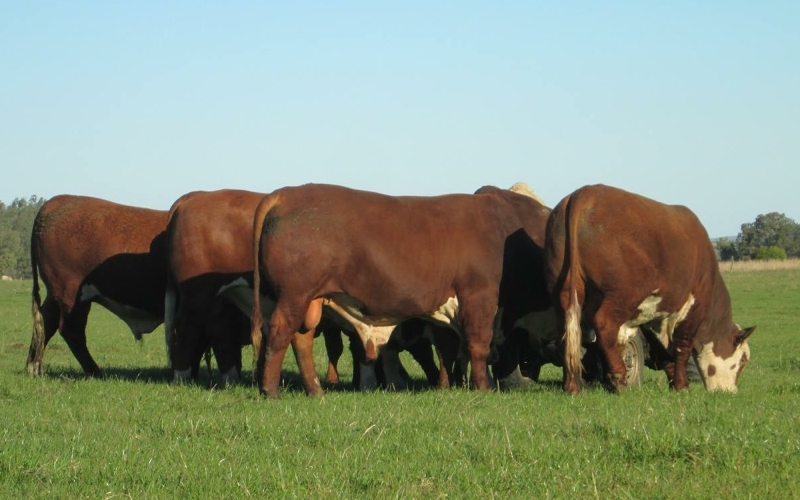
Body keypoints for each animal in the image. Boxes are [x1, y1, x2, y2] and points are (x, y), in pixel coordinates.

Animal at [27, 195, 169, 376]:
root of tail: (57, 201)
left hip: (56, 294)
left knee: (45, 324)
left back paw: (34, 367)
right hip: (72, 294)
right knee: (71, 330)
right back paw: (95, 371)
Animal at [544, 185, 756, 394]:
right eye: (743, 360)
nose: (731, 391)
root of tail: (584, 193)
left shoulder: (654, 315)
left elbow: (661, 351)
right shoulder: (693, 306)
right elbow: (682, 347)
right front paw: (682, 386)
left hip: (563, 288)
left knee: (568, 332)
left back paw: (572, 385)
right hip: (624, 294)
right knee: (604, 324)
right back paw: (619, 378)